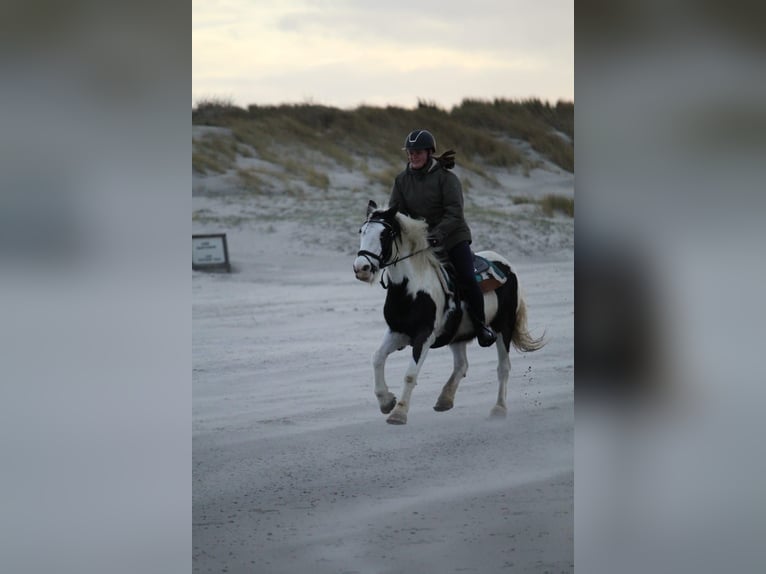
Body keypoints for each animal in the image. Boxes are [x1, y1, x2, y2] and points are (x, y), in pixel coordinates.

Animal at [354, 200, 544, 426]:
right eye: (362, 231)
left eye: (384, 235)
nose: (361, 268)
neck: (412, 288)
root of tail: (507, 265)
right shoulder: (396, 332)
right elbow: (377, 358)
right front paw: (386, 401)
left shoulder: (424, 336)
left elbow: (410, 374)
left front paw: (398, 413)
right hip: (458, 335)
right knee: (462, 365)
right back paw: (445, 399)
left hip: (502, 328)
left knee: (503, 368)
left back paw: (498, 409)